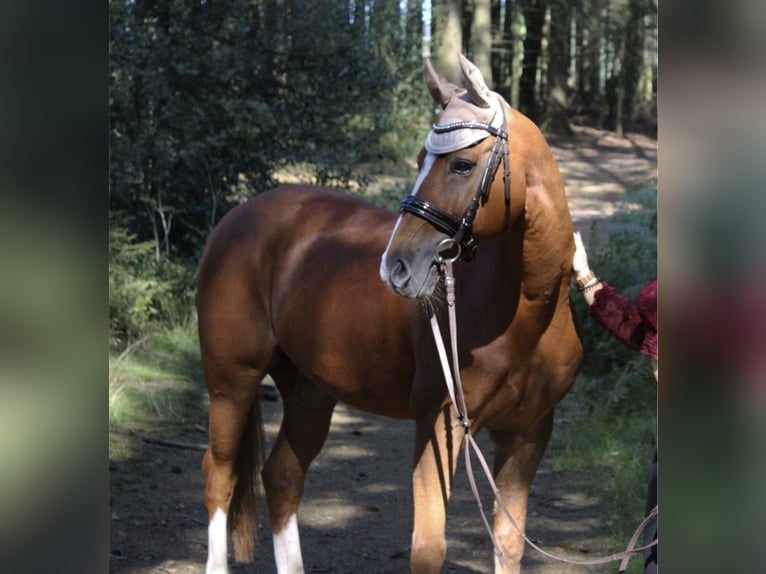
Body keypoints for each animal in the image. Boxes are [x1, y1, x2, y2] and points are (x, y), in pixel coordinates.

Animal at [197, 54, 582, 574]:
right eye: (420, 161)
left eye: (462, 164)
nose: (396, 266)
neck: (527, 318)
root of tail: (236, 219)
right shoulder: (439, 425)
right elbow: (428, 547)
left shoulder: (527, 433)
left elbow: (508, 542)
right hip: (231, 382)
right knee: (220, 477)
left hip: (309, 390)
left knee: (281, 477)